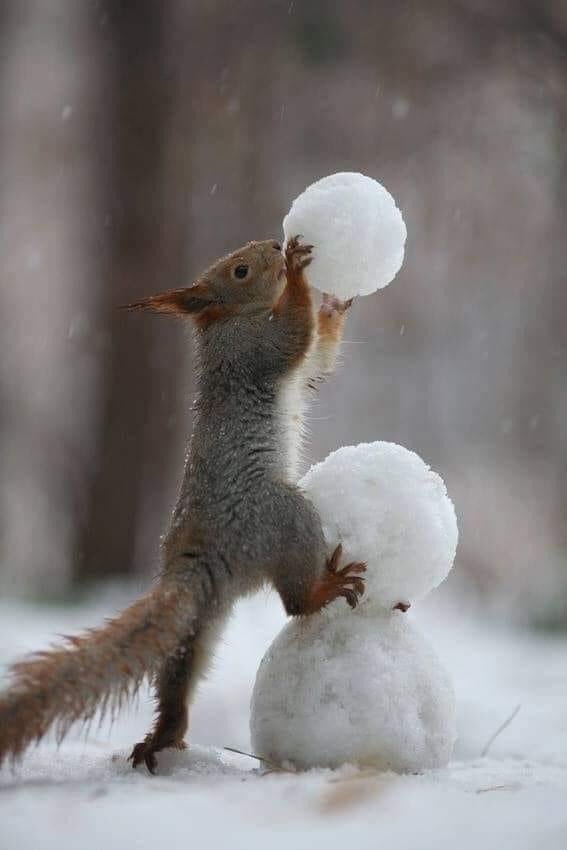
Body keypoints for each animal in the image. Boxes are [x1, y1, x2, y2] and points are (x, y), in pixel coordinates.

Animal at [0, 236, 365, 774]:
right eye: (239, 270)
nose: (274, 244)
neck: (226, 320)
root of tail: (199, 559)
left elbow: (318, 356)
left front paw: (334, 306)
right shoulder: (253, 348)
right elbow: (296, 336)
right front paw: (299, 276)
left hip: (198, 625)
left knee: (179, 677)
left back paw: (160, 737)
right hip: (284, 515)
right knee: (295, 604)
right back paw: (327, 586)